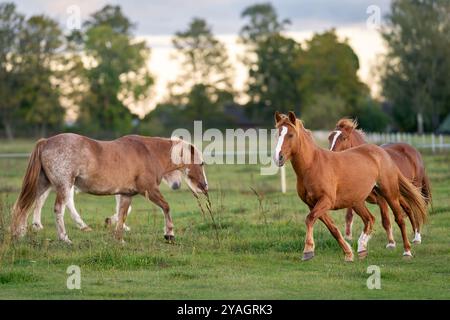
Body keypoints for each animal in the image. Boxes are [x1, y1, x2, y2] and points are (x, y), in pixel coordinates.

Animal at [10, 134, 207, 244]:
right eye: (201, 163)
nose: (204, 186)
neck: (148, 152)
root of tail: (46, 142)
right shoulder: (149, 189)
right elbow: (166, 207)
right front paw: (169, 234)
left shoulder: (126, 194)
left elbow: (122, 215)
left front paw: (119, 239)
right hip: (64, 186)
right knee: (58, 209)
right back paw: (65, 238)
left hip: (43, 185)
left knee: (25, 206)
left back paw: (20, 234)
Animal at [272, 111, 428, 262]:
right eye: (277, 134)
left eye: (291, 135)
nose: (278, 157)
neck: (313, 165)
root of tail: (383, 154)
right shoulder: (313, 204)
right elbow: (333, 228)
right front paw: (348, 253)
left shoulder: (326, 201)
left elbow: (310, 219)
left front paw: (308, 251)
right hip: (358, 201)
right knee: (370, 219)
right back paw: (362, 248)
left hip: (389, 194)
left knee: (400, 218)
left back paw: (407, 250)